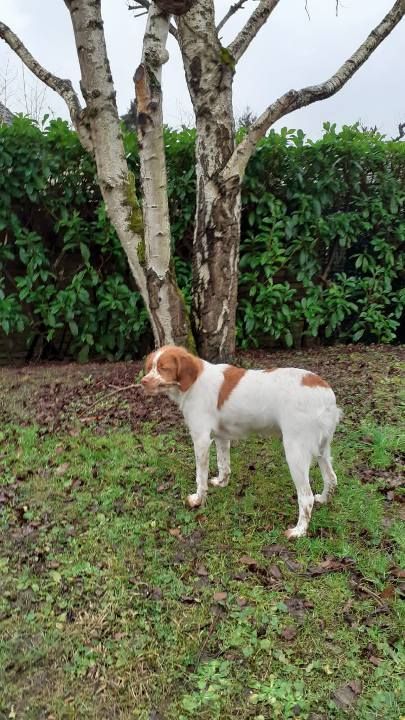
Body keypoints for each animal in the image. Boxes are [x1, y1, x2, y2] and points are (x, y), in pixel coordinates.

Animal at [142, 346, 340, 536]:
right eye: (151, 366)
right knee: (331, 478)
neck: (194, 382)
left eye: (164, 368)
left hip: (295, 452)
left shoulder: (201, 439)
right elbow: (223, 464)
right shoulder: (221, 437)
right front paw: (222, 483)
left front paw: (198, 500)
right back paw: (323, 499)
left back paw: (299, 531)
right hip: (322, 449)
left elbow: (200, 477)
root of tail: (326, 392)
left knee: (306, 497)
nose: (143, 381)